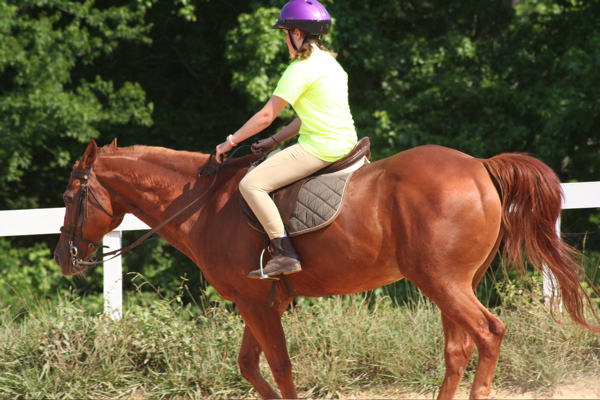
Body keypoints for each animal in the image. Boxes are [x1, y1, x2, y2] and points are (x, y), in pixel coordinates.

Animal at [54, 138, 600, 399]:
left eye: (69, 195)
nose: (63, 258)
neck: (206, 204)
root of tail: (480, 167)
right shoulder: (260, 301)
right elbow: (249, 366)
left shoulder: (255, 303)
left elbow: (278, 365)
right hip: (451, 284)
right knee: (458, 348)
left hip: (442, 282)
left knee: (488, 333)